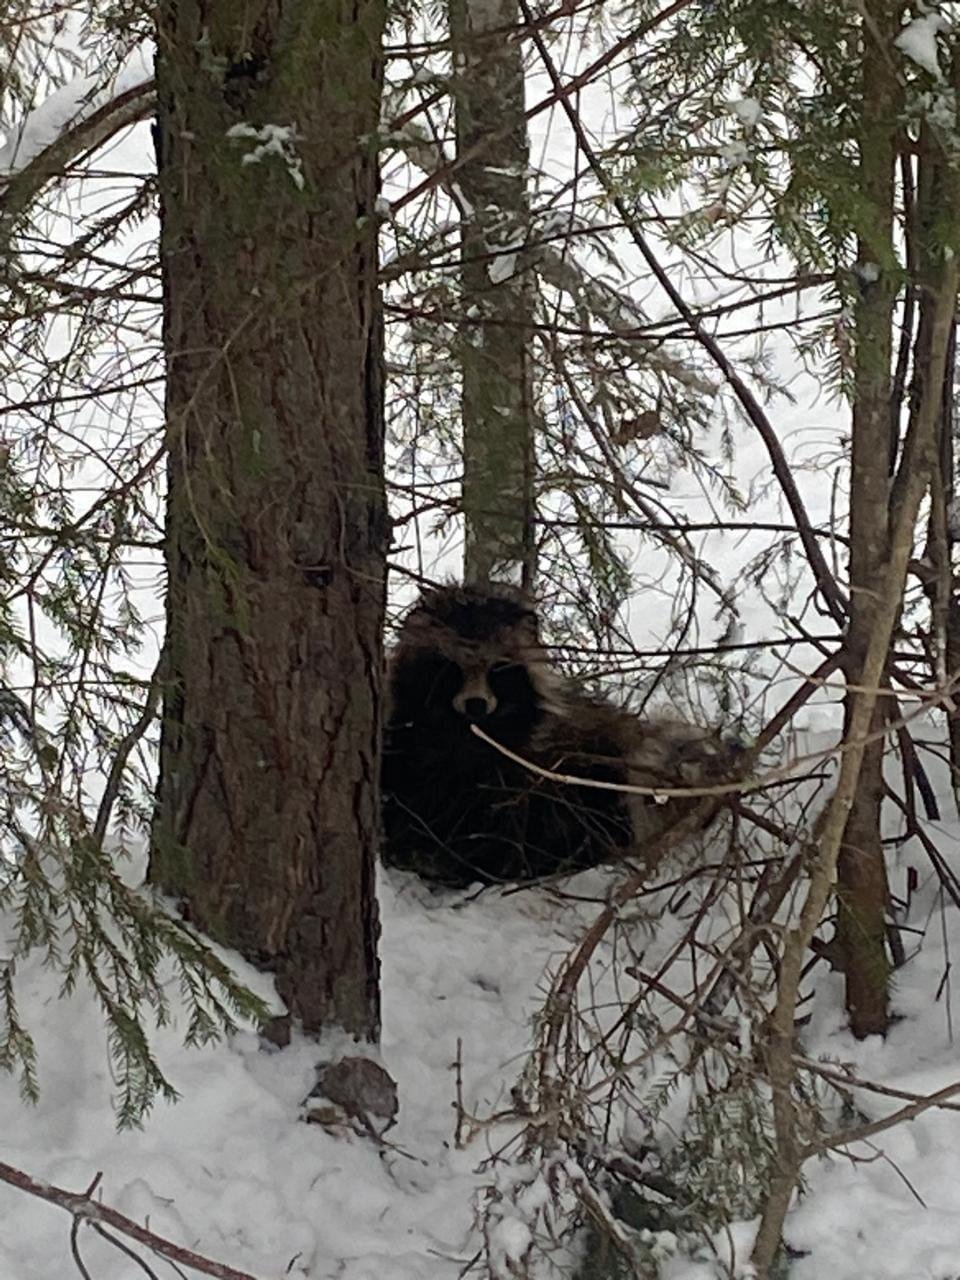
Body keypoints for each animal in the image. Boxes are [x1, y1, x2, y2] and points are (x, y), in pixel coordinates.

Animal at [384, 583, 727, 890]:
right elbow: (410, 788)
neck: (465, 733)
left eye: (498, 669)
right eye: (451, 668)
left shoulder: (519, 762)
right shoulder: (411, 744)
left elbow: (499, 814)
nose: (477, 704)